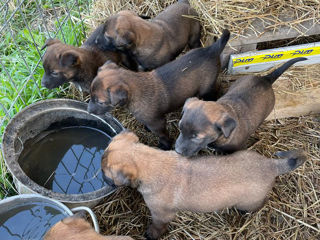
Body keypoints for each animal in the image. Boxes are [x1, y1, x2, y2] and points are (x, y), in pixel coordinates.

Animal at [87, 29, 230, 150]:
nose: (88, 111)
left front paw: (165, 146)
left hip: (206, 89)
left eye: (101, 102)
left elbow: (163, 135)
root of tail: (212, 49)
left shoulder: (158, 123)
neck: (136, 91)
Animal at [102, 131, 308, 240]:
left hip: (250, 202)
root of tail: (271, 165)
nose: (102, 178)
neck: (150, 162)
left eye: (105, 171)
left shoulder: (161, 214)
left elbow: (158, 225)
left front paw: (151, 234)